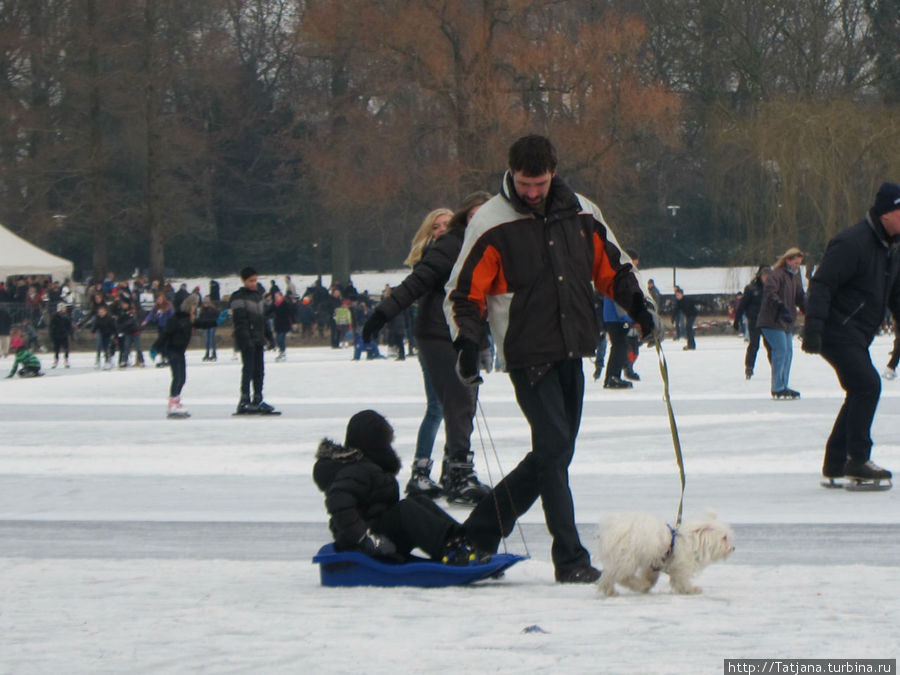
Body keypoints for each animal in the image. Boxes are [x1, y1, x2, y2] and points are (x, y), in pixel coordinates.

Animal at [596, 512, 732, 596]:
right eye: (724, 537)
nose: (733, 548)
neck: (692, 541)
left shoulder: (654, 563)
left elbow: (651, 575)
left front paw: (649, 584)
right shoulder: (682, 565)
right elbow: (682, 580)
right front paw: (691, 589)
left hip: (618, 559)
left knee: (609, 575)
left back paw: (610, 591)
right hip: (627, 557)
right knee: (622, 576)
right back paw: (639, 584)